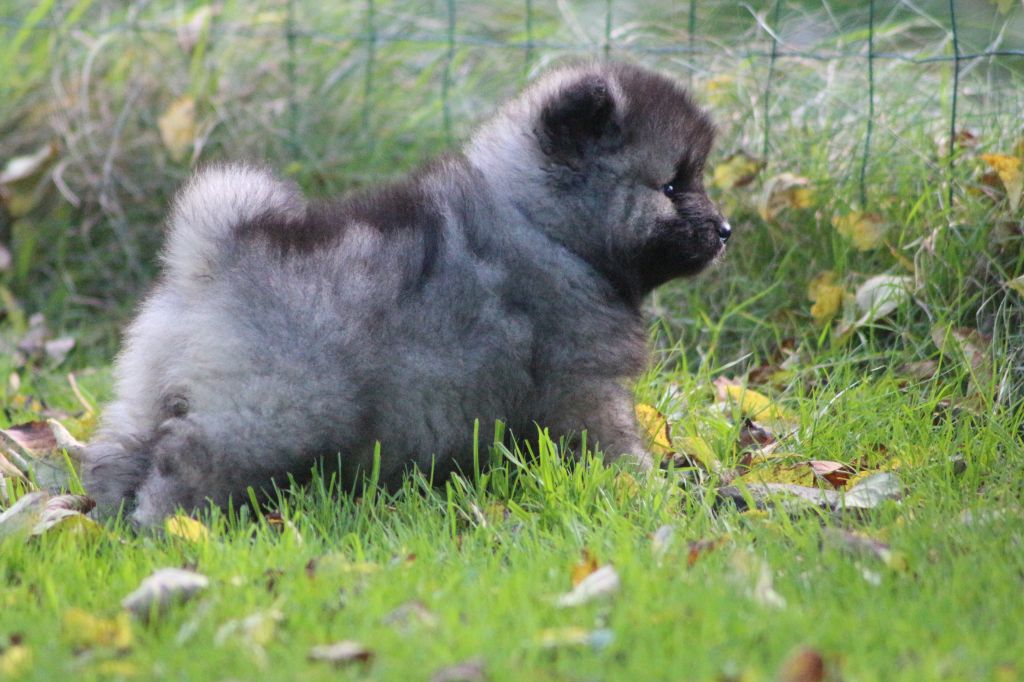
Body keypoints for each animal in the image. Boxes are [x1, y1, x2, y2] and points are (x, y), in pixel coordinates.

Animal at [81, 61, 729, 522]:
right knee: (190, 459)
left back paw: (110, 523)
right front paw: (649, 492)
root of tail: (211, 253)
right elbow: (613, 446)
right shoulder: (582, 386)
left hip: (152, 389)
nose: (725, 230)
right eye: (673, 185)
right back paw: (169, 529)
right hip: (270, 412)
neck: (547, 225)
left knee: (120, 450)